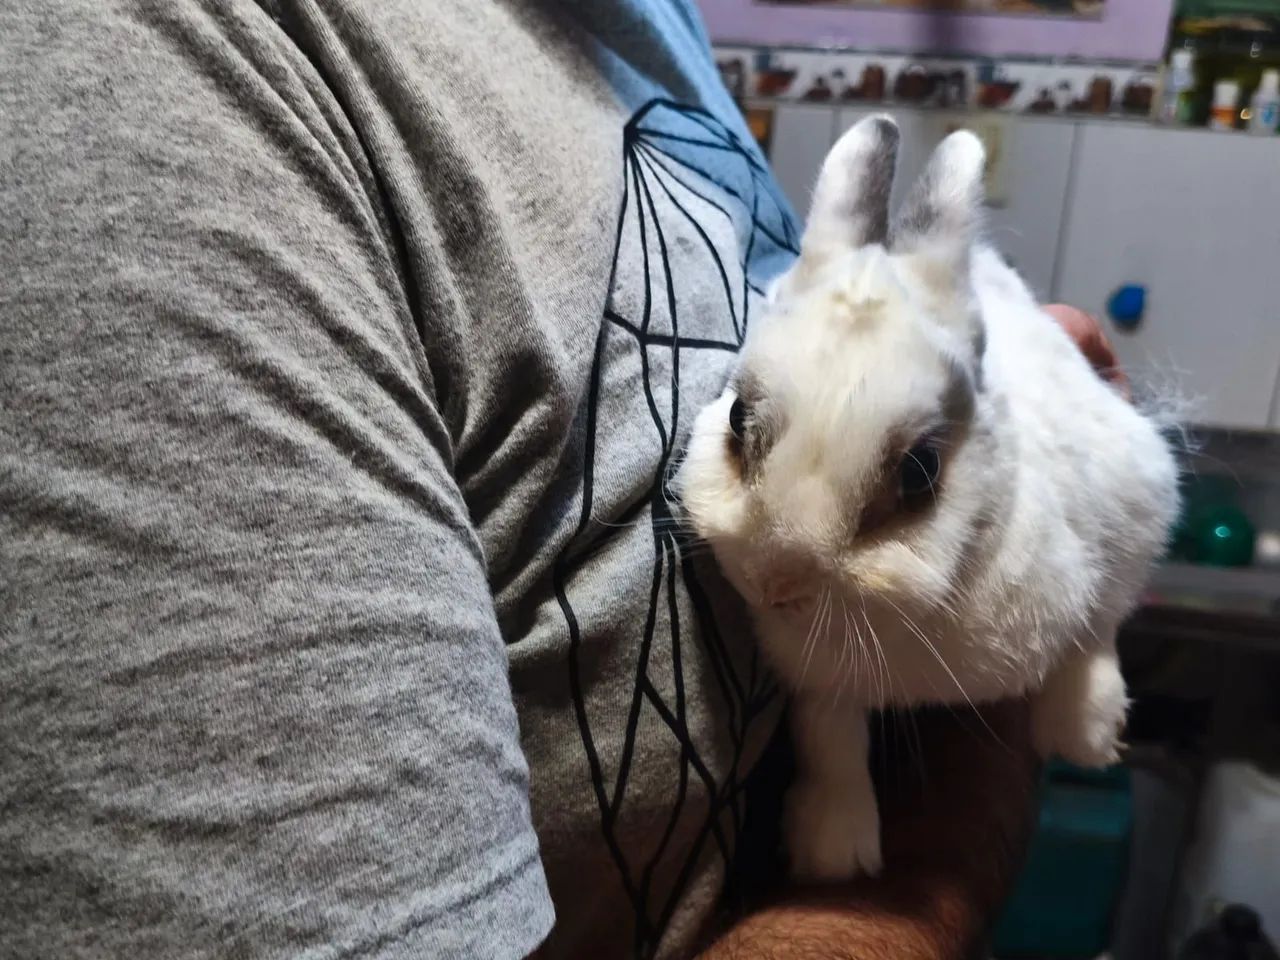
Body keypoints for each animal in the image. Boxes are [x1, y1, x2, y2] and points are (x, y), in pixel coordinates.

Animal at [674, 115, 1180, 883]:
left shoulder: (1134, 504)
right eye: (736, 418)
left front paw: (1086, 735)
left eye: (920, 470)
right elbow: (829, 740)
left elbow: (1098, 630)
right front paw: (835, 851)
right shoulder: (813, 677)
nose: (777, 583)